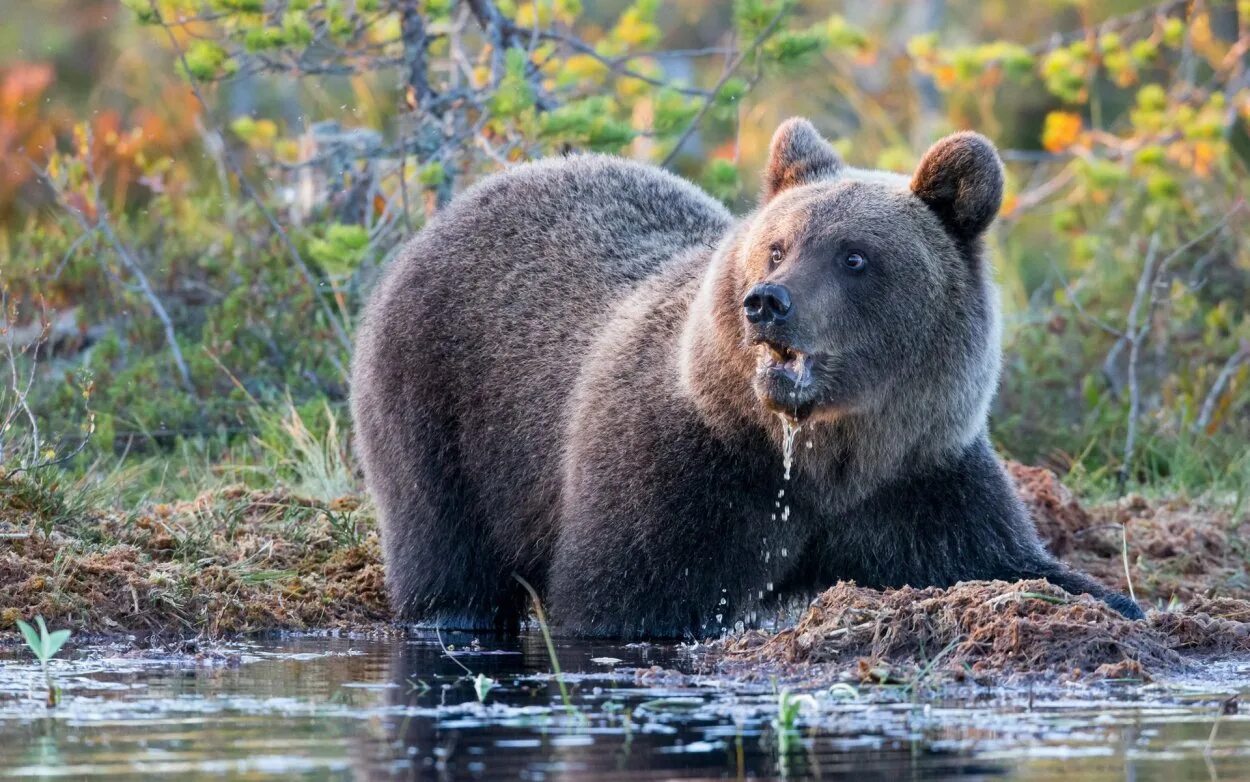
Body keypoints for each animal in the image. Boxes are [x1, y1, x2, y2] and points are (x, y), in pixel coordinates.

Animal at [352, 118, 1145, 637]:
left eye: (855, 256)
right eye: (777, 246)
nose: (767, 302)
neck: (815, 453)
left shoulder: (919, 477)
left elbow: (1002, 559)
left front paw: (1116, 601)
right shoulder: (682, 471)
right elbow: (627, 596)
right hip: (438, 396)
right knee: (443, 537)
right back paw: (450, 612)